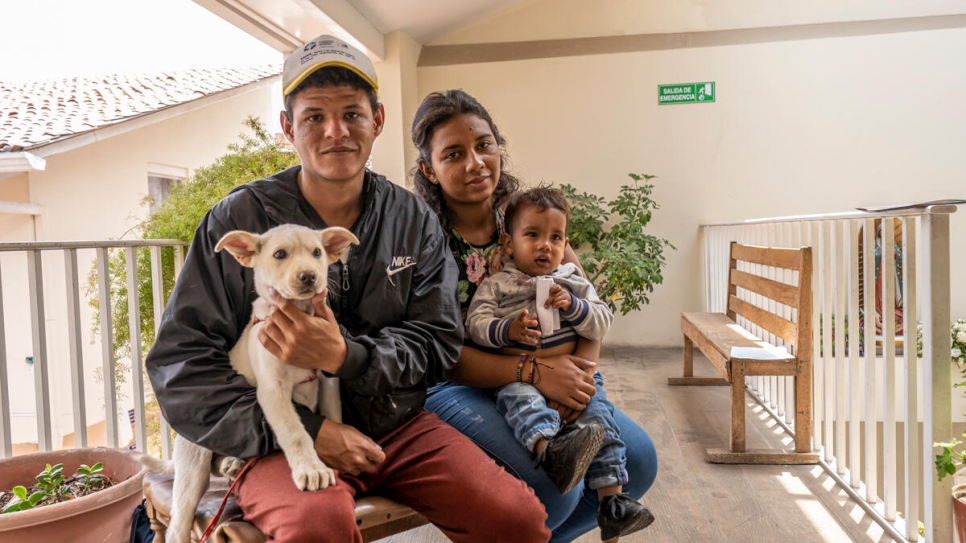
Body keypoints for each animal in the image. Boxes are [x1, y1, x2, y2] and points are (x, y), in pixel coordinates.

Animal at [146, 224, 364, 543]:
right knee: (178, 524)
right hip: (194, 467)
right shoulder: (273, 390)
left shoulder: (329, 377)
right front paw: (310, 468)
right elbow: (295, 432)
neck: (299, 314)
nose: (309, 276)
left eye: (317, 252)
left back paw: (234, 462)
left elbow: (334, 417)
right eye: (280, 254)